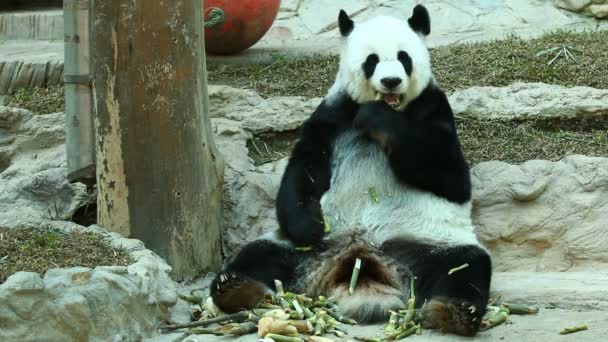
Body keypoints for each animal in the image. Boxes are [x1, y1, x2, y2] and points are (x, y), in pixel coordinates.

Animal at [211, 4, 492, 336]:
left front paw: (378, 118)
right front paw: (309, 226)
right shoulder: (333, 116)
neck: (393, 107)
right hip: (300, 249)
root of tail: (360, 258)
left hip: (426, 243)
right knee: (259, 256)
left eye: (404, 57)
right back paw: (234, 287)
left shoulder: (434, 109)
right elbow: (303, 170)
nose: (391, 81)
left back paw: (455, 310)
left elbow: (453, 178)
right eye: (372, 60)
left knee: (464, 265)